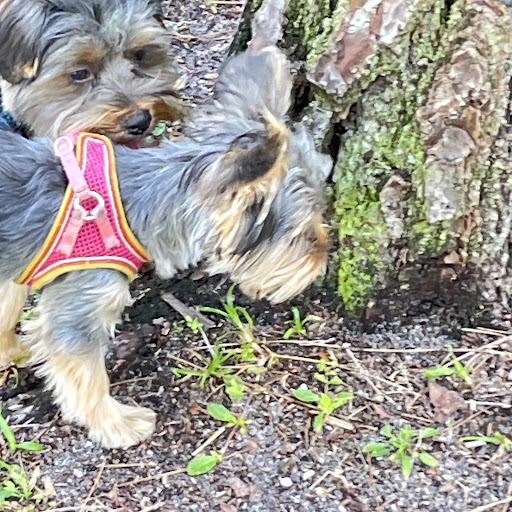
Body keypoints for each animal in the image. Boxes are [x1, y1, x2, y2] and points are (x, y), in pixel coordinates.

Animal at [0, 46, 330, 448]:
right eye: (303, 235)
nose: (324, 260)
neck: (119, 205)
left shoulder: (14, 265)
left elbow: (5, 310)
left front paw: (12, 351)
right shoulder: (82, 300)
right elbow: (85, 374)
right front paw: (116, 424)